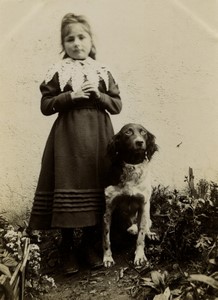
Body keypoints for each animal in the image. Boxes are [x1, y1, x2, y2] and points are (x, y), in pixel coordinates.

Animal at [103, 123, 158, 268]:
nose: (139, 142)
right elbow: (106, 238)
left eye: (143, 132)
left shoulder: (144, 204)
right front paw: (107, 258)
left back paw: (150, 234)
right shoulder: (108, 209)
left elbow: (141, 235)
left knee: (145, 226)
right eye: (128, 132)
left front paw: (139, 256)